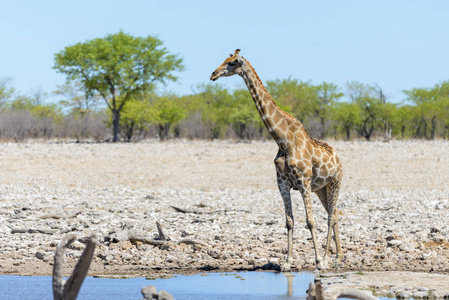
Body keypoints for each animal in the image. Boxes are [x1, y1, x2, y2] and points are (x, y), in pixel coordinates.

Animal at [210, 49, 344, 272]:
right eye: (225, 60)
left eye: (232, 62)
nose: (213, 74)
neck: (283, 140)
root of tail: (339, 160)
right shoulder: (282, 183)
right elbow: (289, 221)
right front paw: (287, 262)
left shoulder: (303, 182)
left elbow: (310, 221)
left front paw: (317, 261)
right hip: (321, 189)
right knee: (334, 214)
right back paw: (339, 256)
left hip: (335, 183)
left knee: (331, 216)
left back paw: (327, 259)